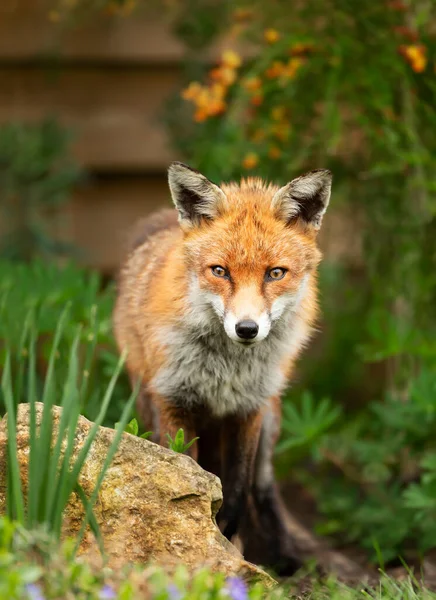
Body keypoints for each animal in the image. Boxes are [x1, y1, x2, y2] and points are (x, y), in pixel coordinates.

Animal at [114, 162, 332, 576]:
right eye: (220, 271)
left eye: (275, 273)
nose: (246, 328)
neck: (226, 371)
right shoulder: (174, 402)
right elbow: (189, 476)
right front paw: (203, 533)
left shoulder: (250, 409)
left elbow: (238, 489)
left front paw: (226, 535)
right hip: (147, 405)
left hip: (271, 423)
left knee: (264, 489)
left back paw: (283, 557)